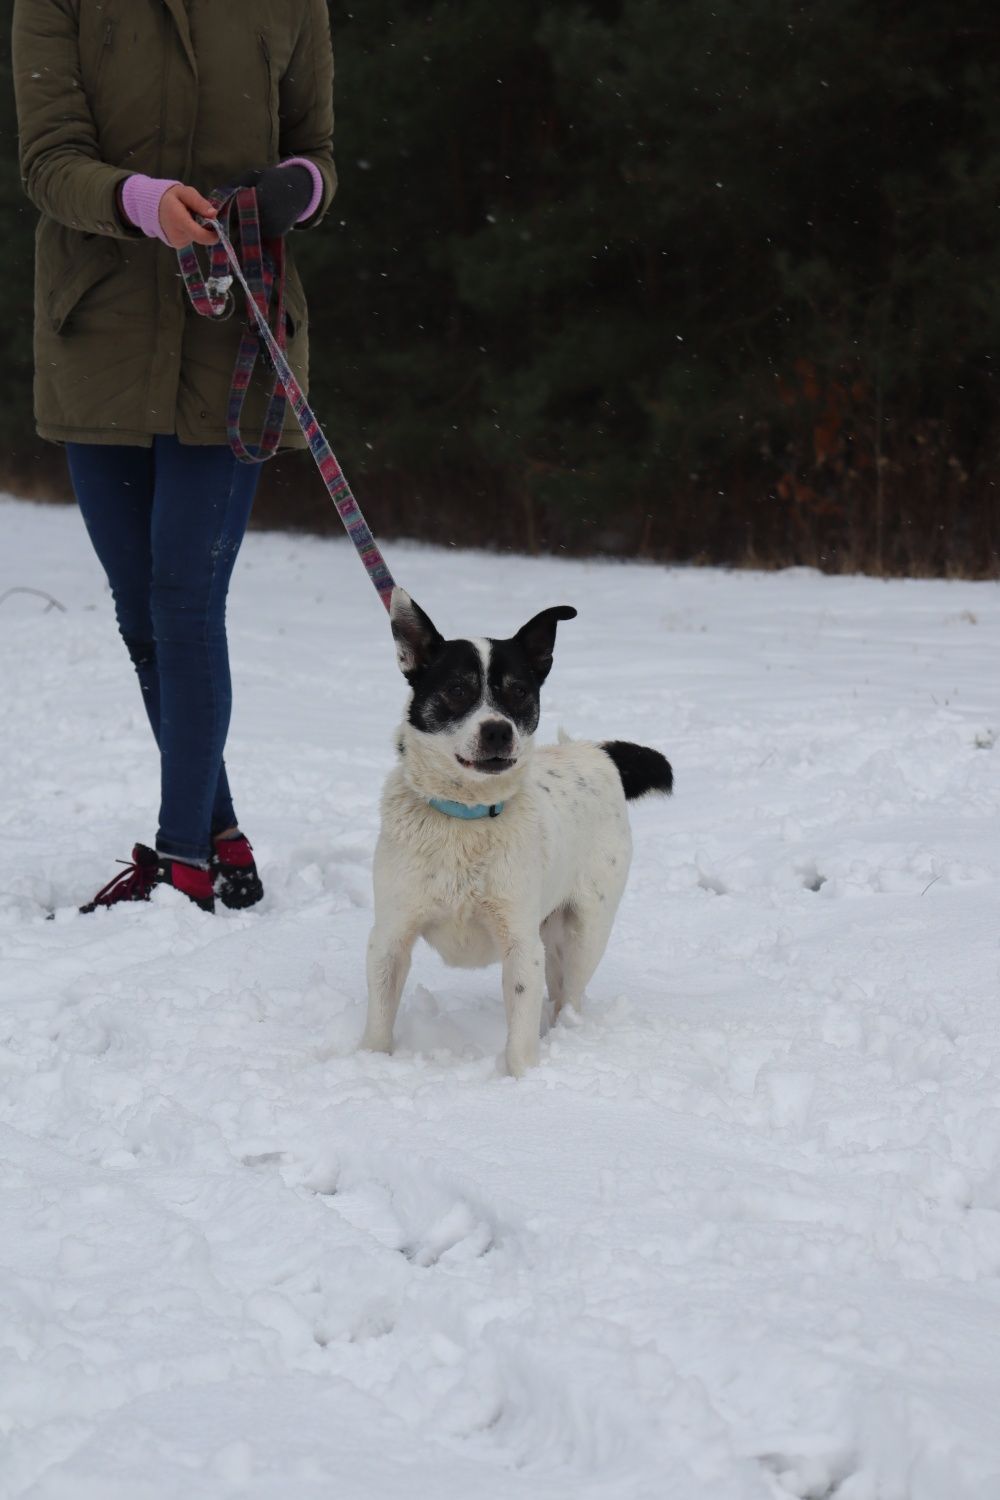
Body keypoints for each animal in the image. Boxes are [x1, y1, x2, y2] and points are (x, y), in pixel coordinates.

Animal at [359, 588, 671, 1080]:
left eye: (519, 691)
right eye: (457, 689)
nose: (498, 731)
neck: (466, 817)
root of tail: (598, 752)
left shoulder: (522, 943)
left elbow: (521, 1030)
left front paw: (521, 1081)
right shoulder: (390, 935)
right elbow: (379, 1019)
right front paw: (370, 1063)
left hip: (584, 929)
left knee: (568, 997)